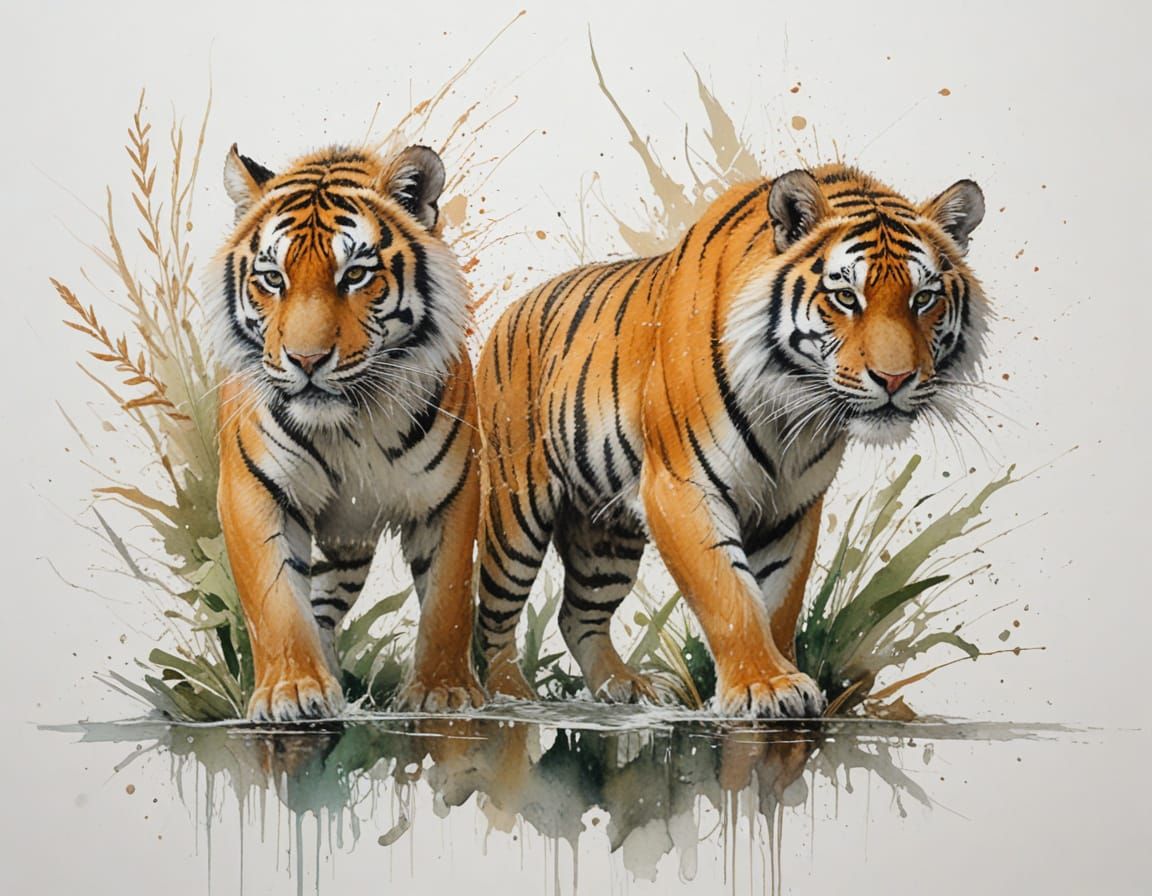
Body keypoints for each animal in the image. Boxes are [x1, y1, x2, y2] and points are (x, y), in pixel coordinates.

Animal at [210, 143, 485, 721]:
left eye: (355, 274)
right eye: (273, 279)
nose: (306, 360)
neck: (351, 422)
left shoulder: (451, 494)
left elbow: (448, 597)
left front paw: (443, 690)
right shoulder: (251, 489)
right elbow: (275, 599)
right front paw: (293, 690)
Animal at [474, 164, 986, 718]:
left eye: (924, 298)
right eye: (846, 297)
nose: (895, 379)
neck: (793, 409)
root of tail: (513, 309)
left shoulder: (792, 506)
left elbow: (778, 598)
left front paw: (786, 674)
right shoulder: (680, 487)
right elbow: (729, 592)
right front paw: (766, 685)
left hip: (605, 535)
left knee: (577, 615)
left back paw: (625, 686)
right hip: (516, 511)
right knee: (493, 614)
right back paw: (508, 690)